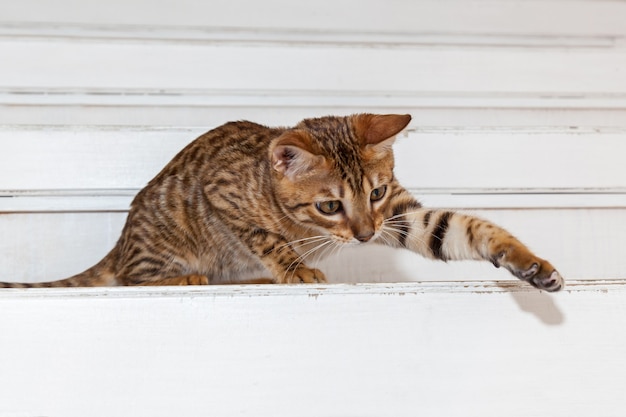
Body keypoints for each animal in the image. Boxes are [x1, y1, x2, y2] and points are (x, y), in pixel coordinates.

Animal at [0, 112, 564, 290]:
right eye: (329, 206)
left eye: (376, 192)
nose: (364, 236)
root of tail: (119, 244)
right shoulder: (221, 193)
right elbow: (266, 238)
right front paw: (295, 267)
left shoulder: (399, 215)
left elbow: (462, 228)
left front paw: (529, 263)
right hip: (165, 237)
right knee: (133, 276)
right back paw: (186, 277)